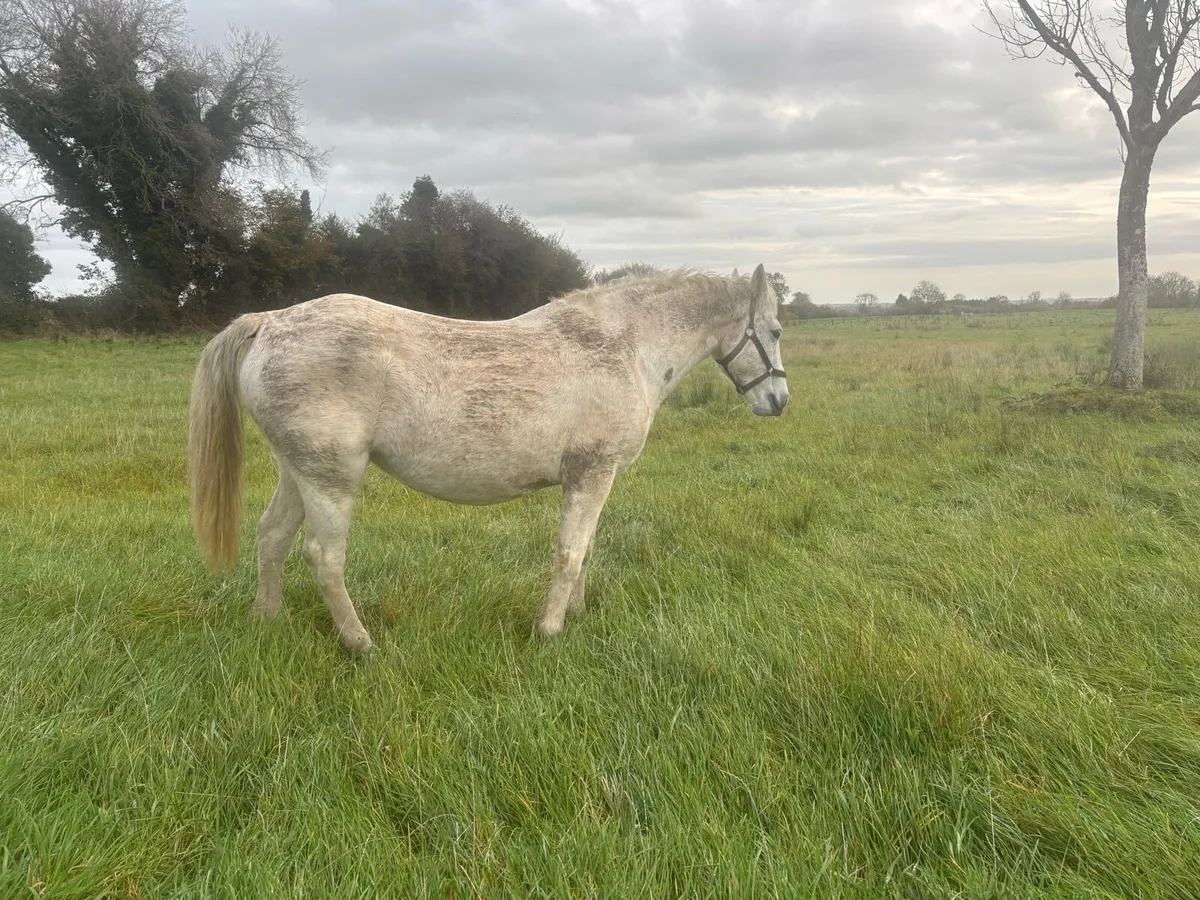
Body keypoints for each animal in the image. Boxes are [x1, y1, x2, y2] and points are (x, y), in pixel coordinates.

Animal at [187, 264, 789, 654]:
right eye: (777, 330)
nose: (779, 401)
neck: (626, 347)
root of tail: (269, 321)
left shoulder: (596, 478)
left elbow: (587, 552)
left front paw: (575, 614)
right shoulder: (592, 472)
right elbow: (570, 552)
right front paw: (549, 631)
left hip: (298, 470)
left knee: (272, 535)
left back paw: (268, 617)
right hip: (332, 477)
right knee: (323, 557)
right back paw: (361, 644)